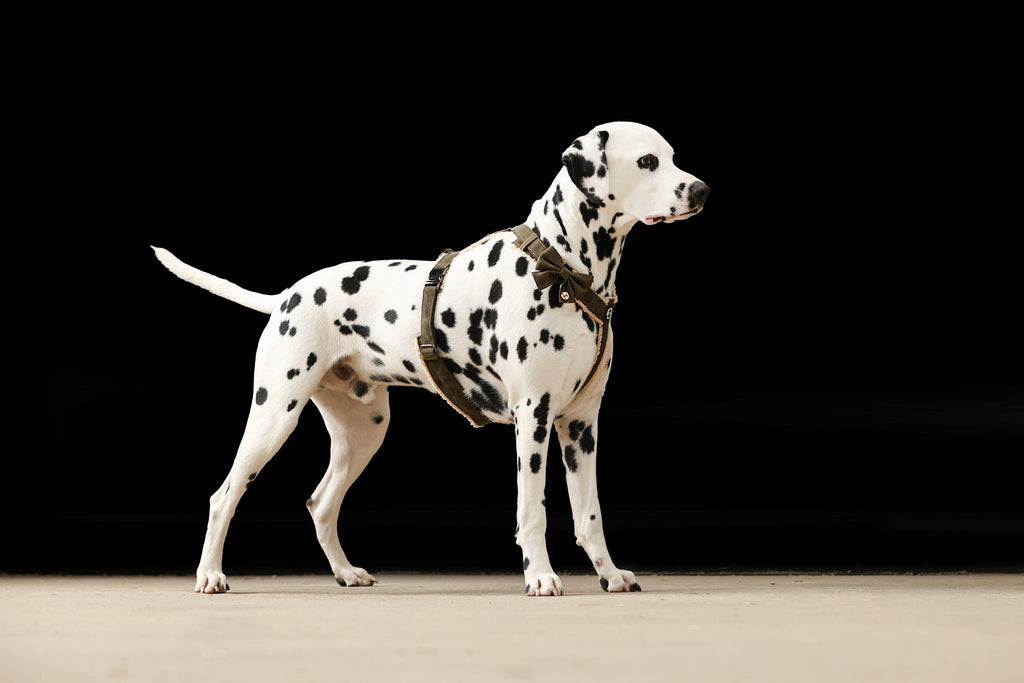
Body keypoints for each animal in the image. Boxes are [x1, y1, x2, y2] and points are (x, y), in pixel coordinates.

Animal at [154, 121, 708, 596]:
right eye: (647, 161)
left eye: (673, 157)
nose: (701, 190)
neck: (561, 267)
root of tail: (287, 295)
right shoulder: (534, 417)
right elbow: (533, 509)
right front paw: (540, 576)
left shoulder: (581, 425)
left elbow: (589, 514)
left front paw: (609, 574)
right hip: (273, 418)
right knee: (224, 495)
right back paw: (210, 575)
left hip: (364, 432)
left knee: (320, 503)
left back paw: (345, 573)